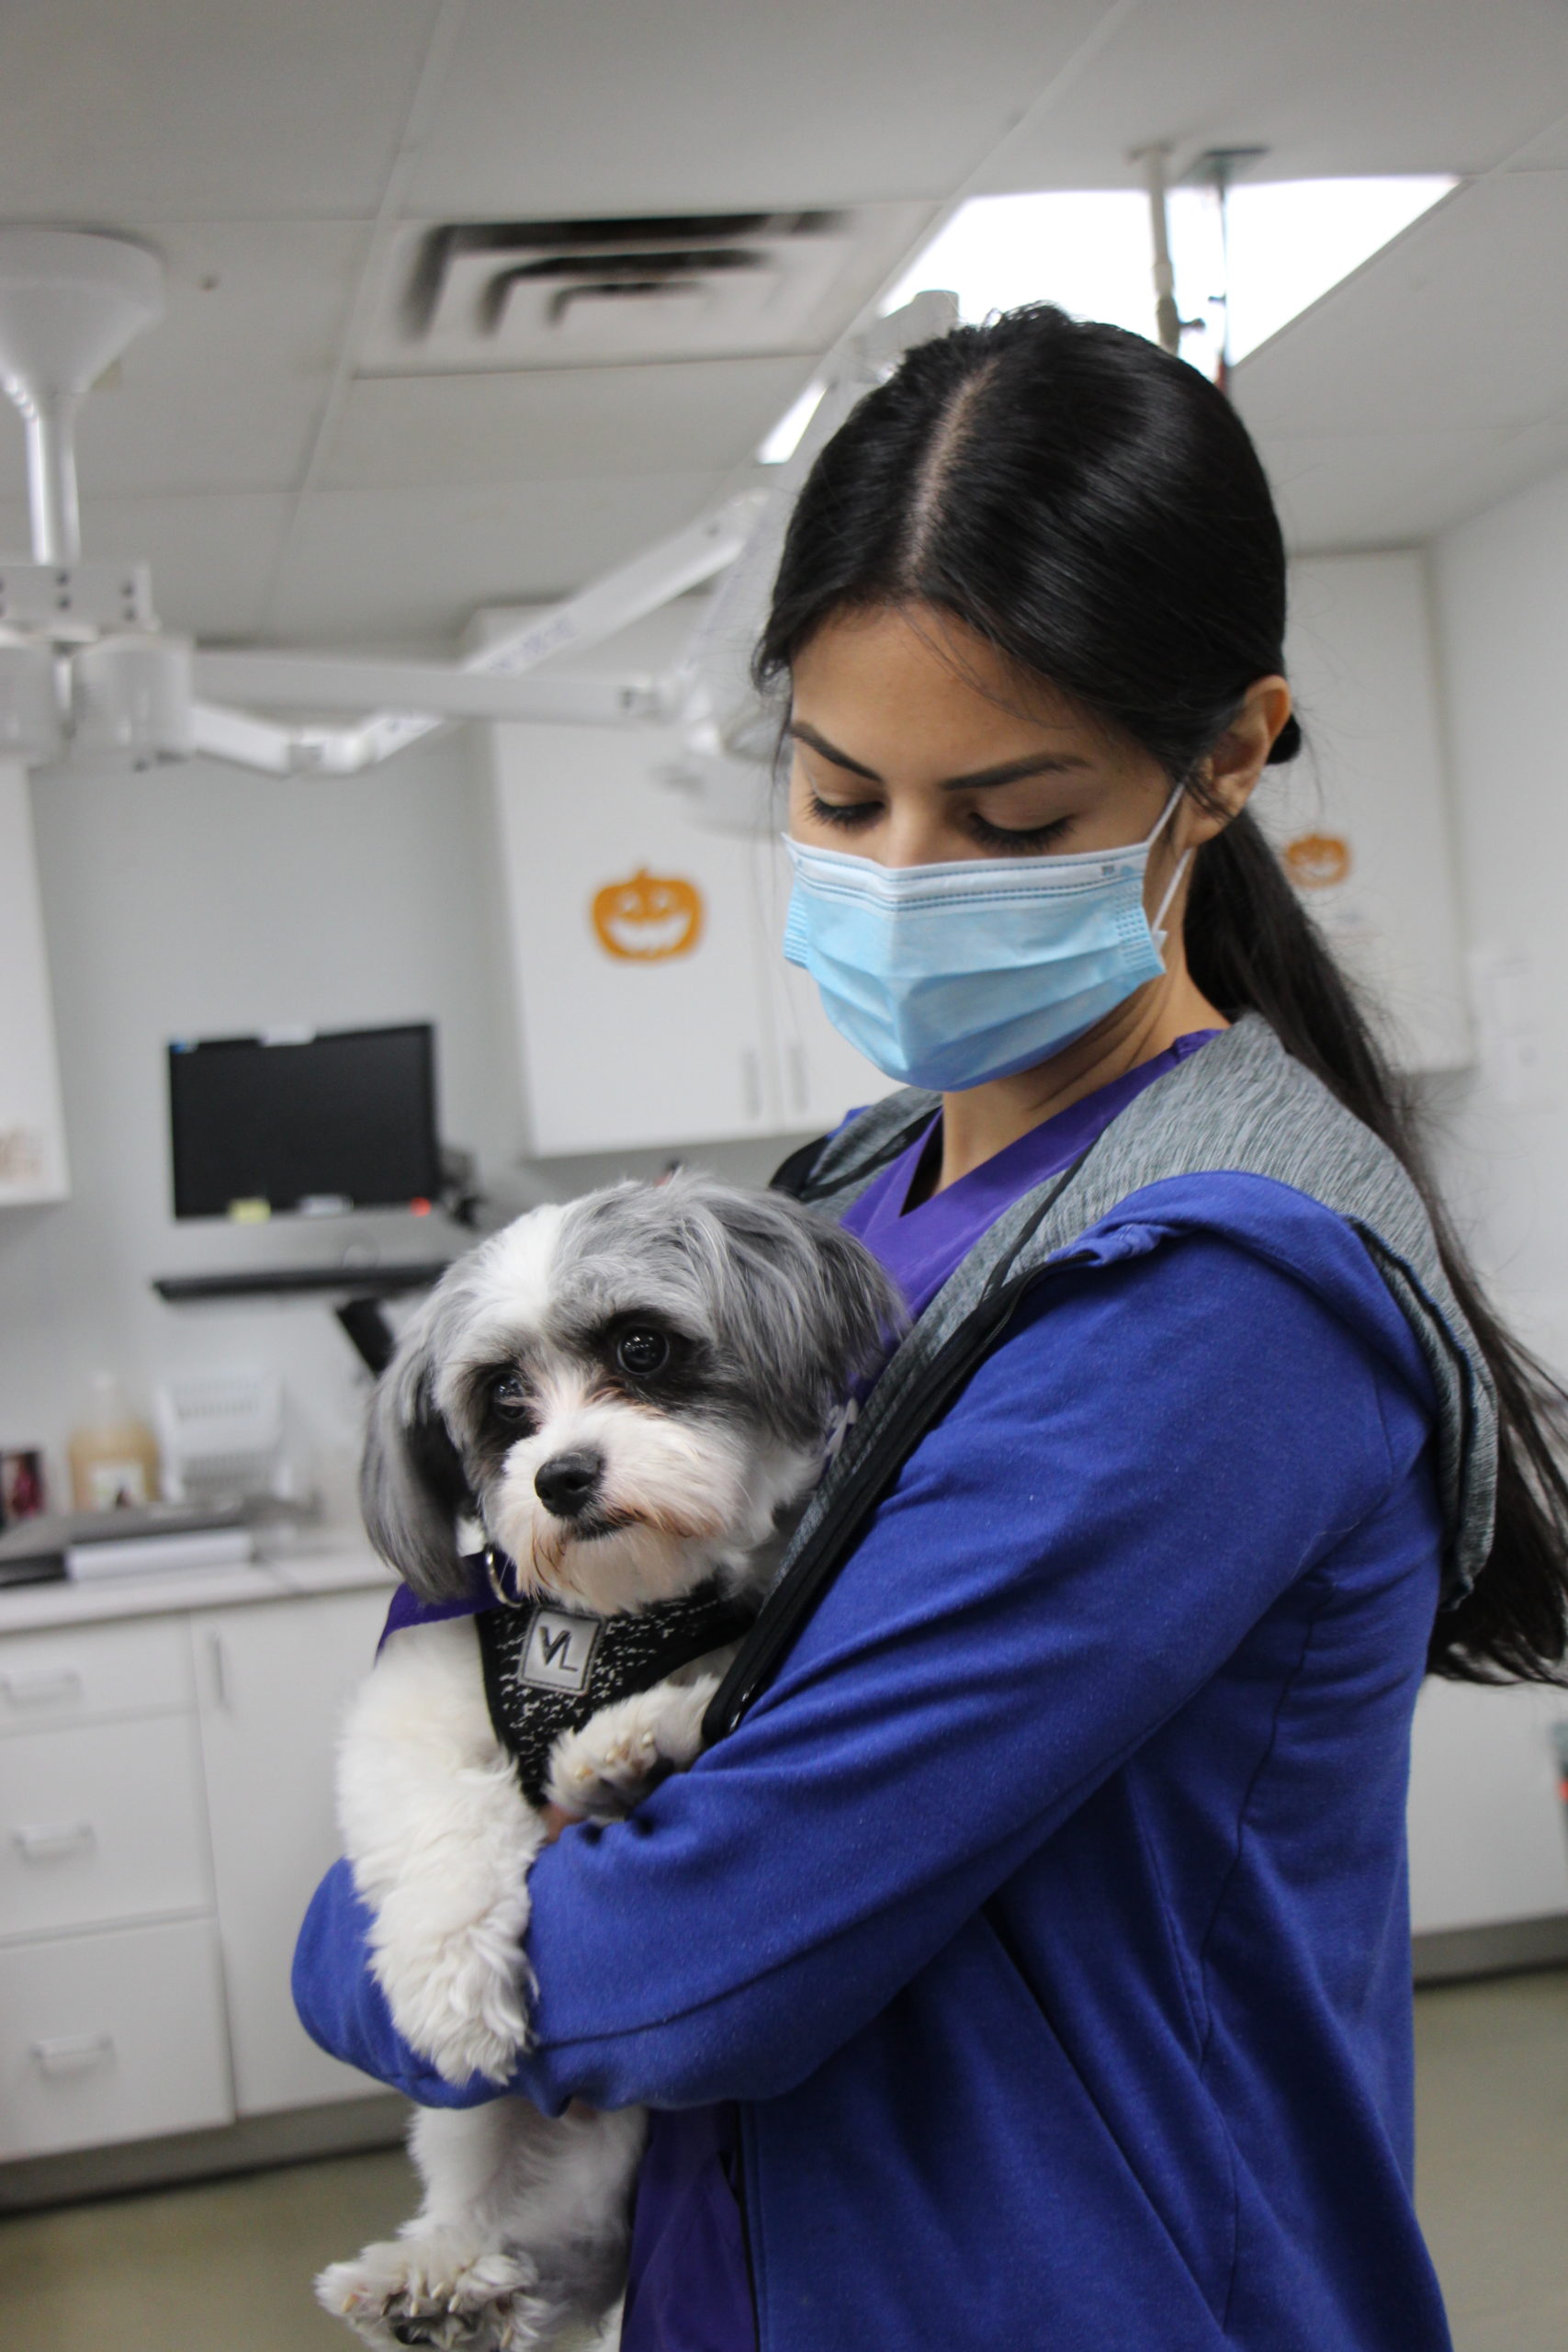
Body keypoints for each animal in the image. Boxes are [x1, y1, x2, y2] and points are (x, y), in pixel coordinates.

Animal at [314, 1170, 893, 2352]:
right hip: (480, 2132)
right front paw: (450, 1983)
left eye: (641, 1346)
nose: (563, 1476)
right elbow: (438, 1820)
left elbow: (697, 1695)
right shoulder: (413, 1704)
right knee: (489, 2208)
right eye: (502, 1397)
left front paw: (631, 1743)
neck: (611, 1619)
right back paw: (433, 2278)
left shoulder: (727, 1635)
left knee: (570, 2246)